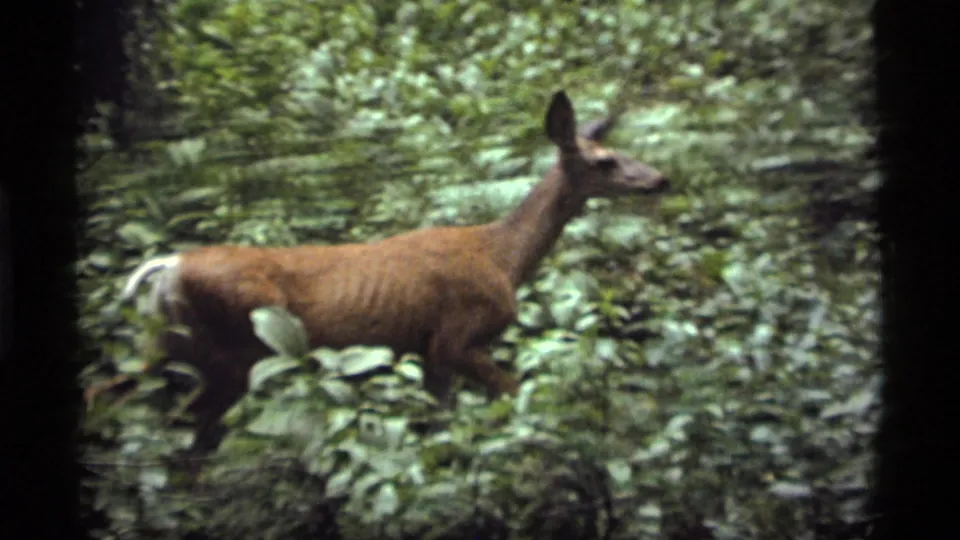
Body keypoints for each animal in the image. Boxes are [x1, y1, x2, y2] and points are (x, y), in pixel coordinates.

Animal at [117, 90, 670, 453]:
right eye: (605, 161)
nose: (660, 180)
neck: (502, 257)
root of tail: (169, 266)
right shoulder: (455, 337)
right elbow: (517, 397)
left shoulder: (425, 352)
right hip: (233, 352)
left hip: (169, 347)